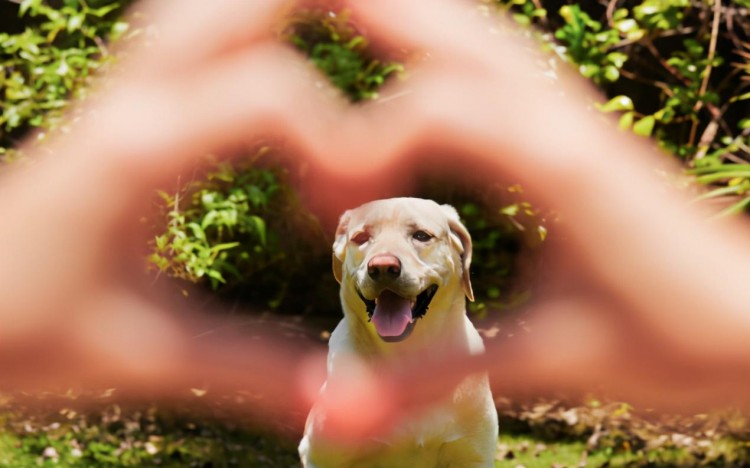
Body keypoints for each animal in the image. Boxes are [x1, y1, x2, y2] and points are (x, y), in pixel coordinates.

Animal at [300, 198, 500, 468]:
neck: (409, 358)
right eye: (361, 237)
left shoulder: (473, 456)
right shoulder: (319, 456)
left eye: (421, 235)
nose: (383, 267)